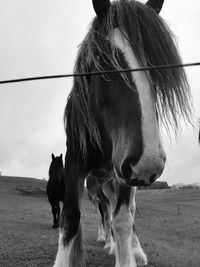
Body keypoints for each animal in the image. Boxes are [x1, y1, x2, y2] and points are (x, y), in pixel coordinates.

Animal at [53, 0, 192, 267]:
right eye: (101, 58)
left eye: (158, 65)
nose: (148, 163)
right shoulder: (74, 160)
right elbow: (71, 218)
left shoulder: (127, 173)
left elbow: (124, 220)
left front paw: (127, 255)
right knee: (106, 213)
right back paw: (108, 242)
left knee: (126, 213)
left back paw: (132, 248)